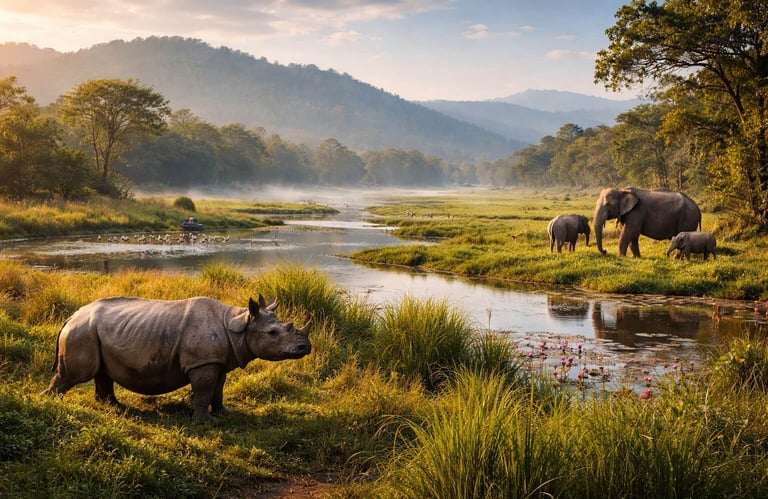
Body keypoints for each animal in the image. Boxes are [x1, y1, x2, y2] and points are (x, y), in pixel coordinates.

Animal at [41, 295, 311, 420]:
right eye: (273, 333)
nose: (305, 347)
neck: (241, 323)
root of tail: (71, 317)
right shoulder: (202, 363)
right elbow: (204, 390)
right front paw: (204, 422)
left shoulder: (217, 362)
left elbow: (218, 389)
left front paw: (224, 413)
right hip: (82, 332)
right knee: (73, 376)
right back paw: (48, 402)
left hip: (94, 332)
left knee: (102, 373)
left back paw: (114, 407)